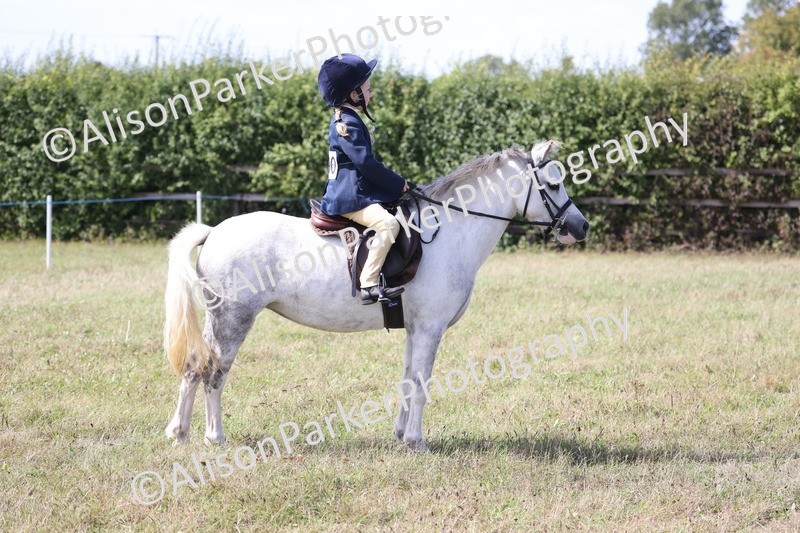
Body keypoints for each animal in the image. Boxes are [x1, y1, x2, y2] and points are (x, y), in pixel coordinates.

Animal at [163, 140, 589, 452]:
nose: (580, 226)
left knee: (192, 369)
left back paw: (179, 433)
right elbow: (421, 383)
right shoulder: (430, 328)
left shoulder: (415, 329)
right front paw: (416, 442)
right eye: (553, 184)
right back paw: (214, 437)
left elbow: (407, 379)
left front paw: (401, 436)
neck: (448, 232)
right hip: (233, 321)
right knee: (214, 373)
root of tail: (214, 231)